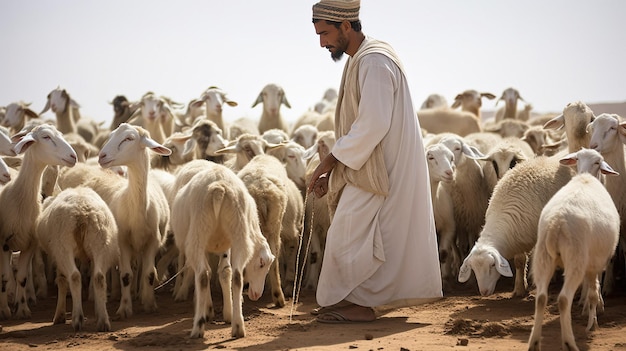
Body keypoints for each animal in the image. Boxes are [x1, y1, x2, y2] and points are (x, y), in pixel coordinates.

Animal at [0, 124, 77, 320]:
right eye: (46, 137)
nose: (73, 156)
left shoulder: (30, 244)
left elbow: (22, 277)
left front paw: (22, 309)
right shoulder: (3, 243)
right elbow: (4, 277)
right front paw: (4, 311)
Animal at [35, 187, 119, 332]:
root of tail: (82, 211)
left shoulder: (57, 258)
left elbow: (62, 281)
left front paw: (60, 316)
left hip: (63, 246)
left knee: (74, 276)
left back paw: (77, 319)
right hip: (101, 241)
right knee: (99, 277)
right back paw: (103, 321)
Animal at [97, 124, 171, 320]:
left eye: (129, 138)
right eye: (111, 135)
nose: (101, 156)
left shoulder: (153, 240)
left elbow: (150, 273)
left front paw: (150, 303)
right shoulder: (122, 242)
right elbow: (125, 275)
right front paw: (124, 308)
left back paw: (139, 294)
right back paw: (120, 293)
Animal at [169, 164, 272, 340]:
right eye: (261, 264)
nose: (257, 294)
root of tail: (218, 188)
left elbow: (210, 272)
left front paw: (208, 309)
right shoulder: (227, 243)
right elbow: (225, 272)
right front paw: (226, 312)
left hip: (198, 230)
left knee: (202, 274)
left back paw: (198, 326)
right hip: (238, 231)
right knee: (236, 276)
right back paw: (237, 326)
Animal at [528, 148, 620, 351]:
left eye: (596, 162)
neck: (586, 177)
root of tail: (556, 222)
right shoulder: (595, 262)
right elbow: (593, 292)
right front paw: (592, 323)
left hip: (542, 256)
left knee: (541, 298)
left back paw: (534, 342)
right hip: (575, 258)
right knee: (563, 299)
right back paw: (569, 342)